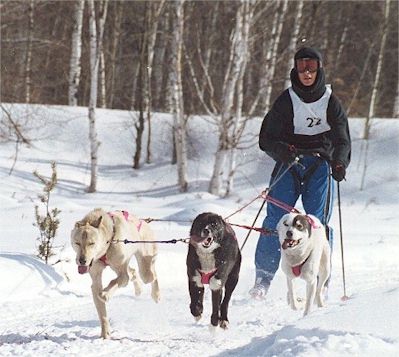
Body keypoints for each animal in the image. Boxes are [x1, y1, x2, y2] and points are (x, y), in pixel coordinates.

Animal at [71, 207, 160, 338]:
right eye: (77, 243)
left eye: (91, 243)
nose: (82, 260)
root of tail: (142, 222)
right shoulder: (96, 279)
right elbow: (101, 309)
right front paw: (105, 333)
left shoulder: (122, 274)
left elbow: (113, 284)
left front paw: (105, 294)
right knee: (133, 272)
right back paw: (138, 289)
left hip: (145, 269)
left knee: (152, 275)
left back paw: (156, 294)